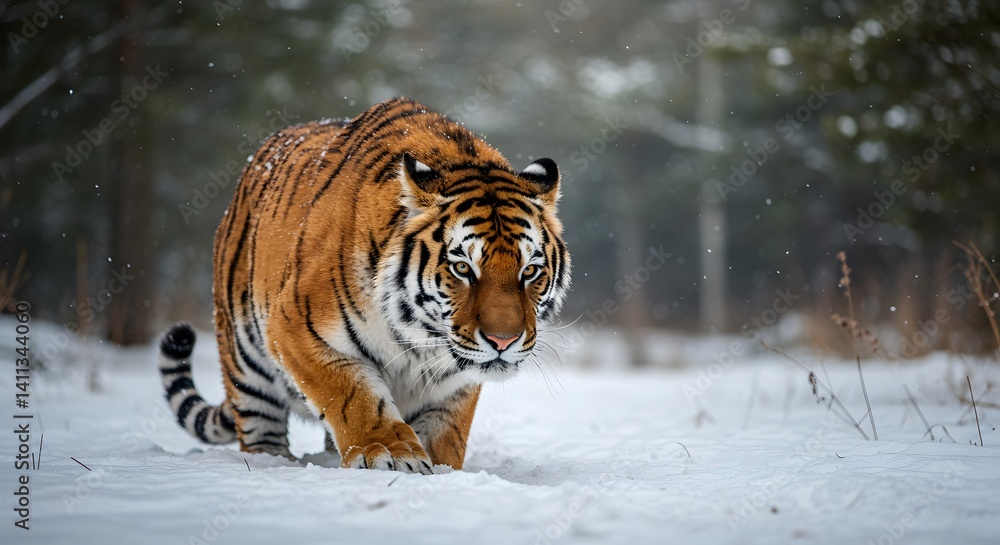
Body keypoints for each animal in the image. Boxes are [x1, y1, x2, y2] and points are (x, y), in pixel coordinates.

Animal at [159, 97, 571, 473]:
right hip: (246, 367)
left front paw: (441, 471)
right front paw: (390, 453)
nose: (504, 341)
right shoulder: (297, 329)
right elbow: (354, 397)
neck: (418, 339)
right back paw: (272, 464)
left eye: (529, 271)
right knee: (261, 429)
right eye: (462, 268)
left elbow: (447, 433)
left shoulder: (453, 383)